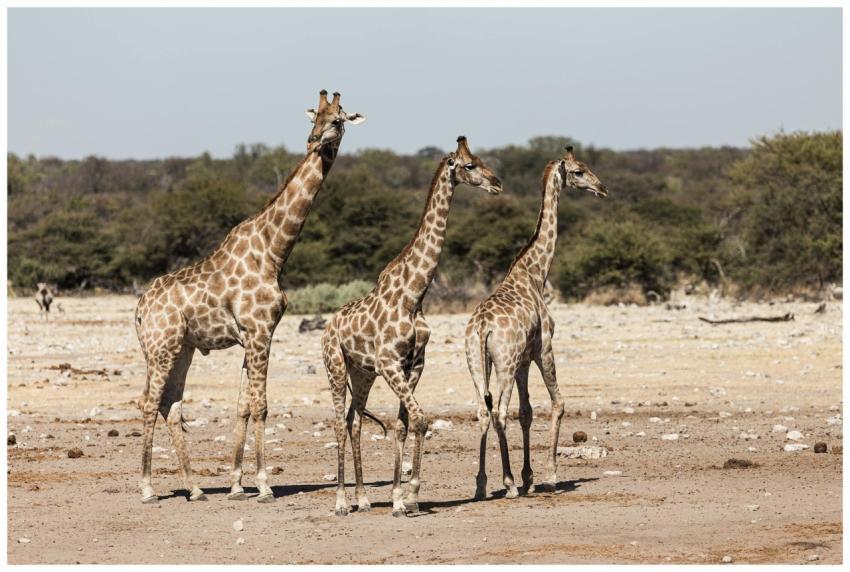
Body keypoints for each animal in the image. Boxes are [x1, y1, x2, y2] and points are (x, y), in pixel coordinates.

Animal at [134, 90, 364, 504]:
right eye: (315, 118)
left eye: (337, 120)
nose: (314, 141)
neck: (273, 251)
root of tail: (139, 311)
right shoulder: (260, 331)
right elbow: (260, 405)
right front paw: (264, 484)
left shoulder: (251, 336)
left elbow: (242, 405)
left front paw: (237, 484)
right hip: (160, 348)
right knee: (149, 402)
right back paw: (146, 488)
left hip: (182, 348)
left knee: (170, 404)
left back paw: (195, 488)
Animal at [322, 136, 502, 517]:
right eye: (470, 165)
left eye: (480, 160)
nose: (497, 183)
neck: (414, 294)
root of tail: (328, 326)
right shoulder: (391, 363)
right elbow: (419, 420)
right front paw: (411, 496)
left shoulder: (413, 364)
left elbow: (404, 425)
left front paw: (399, 497)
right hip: (335, 367)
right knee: (338, 424)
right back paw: (342, 502)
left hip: (362, 373)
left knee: (354, 421)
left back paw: (363, 499)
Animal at [464, 146, 607, 500]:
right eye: (579, 171)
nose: (602, 188)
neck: (535, 272)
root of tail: (482, 327)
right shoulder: (544, 348)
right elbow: (558, 403)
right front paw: (550, 476)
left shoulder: (524, 361)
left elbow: (526, 412)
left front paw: (529, 476)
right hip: (504, 362)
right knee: (499, 412)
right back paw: (508, 484)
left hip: (477, 362)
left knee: (483, 411)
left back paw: (482, 485)